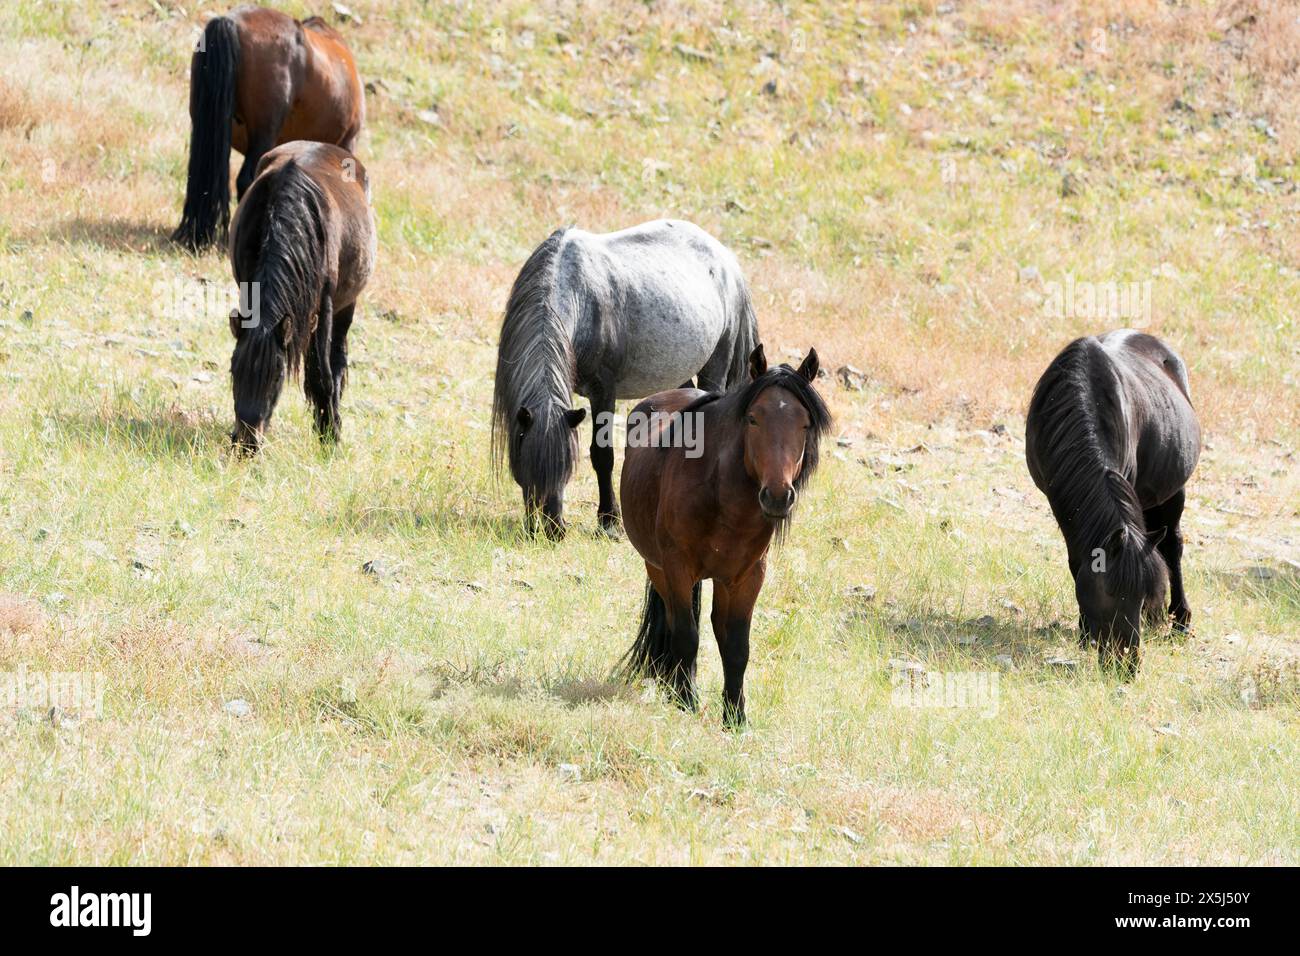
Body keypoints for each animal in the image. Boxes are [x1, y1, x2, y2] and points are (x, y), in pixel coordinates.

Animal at [223, 141, 374, 452]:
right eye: (233, 371)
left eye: (277, 376)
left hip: (345, 307)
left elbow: (321, 374)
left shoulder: (325, 306)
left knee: (336, 359)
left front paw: (330, 434)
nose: (247, 444)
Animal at [488, 219, 759, 541]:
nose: (551, 530)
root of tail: (727, 259)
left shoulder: (604, 391)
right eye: (524, 466)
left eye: (566, 469)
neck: (577, 290)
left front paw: (608, 521)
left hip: (715, 365)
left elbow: (602, 456)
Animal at [613, 343, 826, 723]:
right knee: (675, 622)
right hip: (657, 567)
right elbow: (686, 634)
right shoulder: (677, 567)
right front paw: (686, 701)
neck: (723, 500)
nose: (777, 496)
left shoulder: (747, 577)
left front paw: (736, 717)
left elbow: (737, 645)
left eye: (804, 423)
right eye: (753, 418)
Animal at [1024, 332, 1196, 676]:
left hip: (1173, 492)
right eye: (1110, 594)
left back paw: (1180, 620)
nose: (1127, 666)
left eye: (1140, 598)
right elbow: (1077, 562)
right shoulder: (1057, 500)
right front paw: (1084, 634)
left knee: (1172, 546)